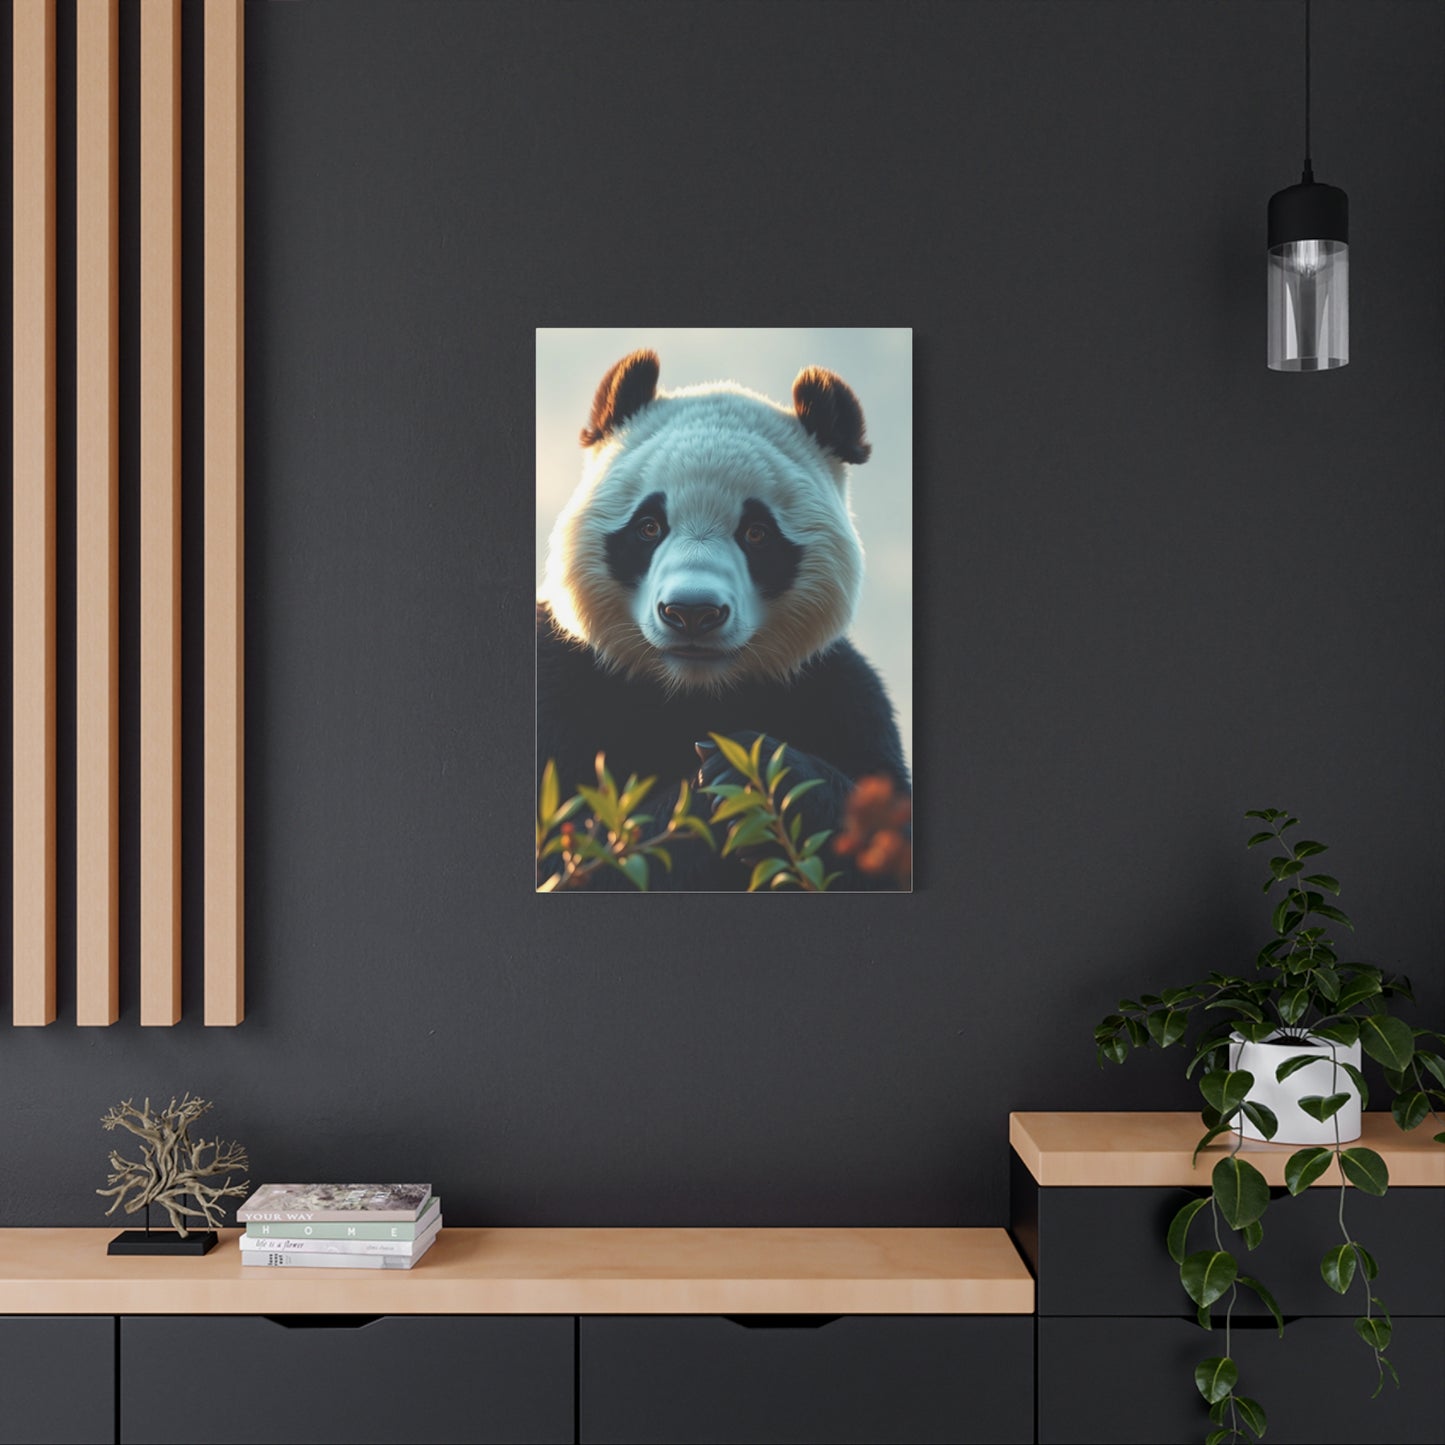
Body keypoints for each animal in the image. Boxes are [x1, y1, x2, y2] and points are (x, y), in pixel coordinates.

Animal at [537, 348, 909, 890]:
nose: (692, 612)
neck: (694, 691)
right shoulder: (563, 682)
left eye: (756, 533)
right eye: (648, 527)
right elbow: (571, 853)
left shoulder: (839, 693)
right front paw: (710, 793)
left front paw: (754, 771)